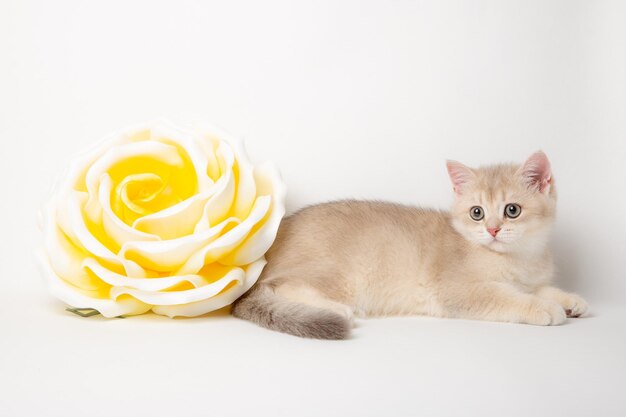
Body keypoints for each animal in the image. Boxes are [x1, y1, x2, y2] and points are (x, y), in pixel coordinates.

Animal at [229, 152, 584, 338]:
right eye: (477, 213)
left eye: (512, 210)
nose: (493, 230)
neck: (519, 258)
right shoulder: (460, 291)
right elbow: (509, 298)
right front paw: (545, 308)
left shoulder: (530, 279)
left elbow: (542, 289)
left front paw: (571, 301)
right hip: (335, 274)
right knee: (280, 286)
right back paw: (335, 309)